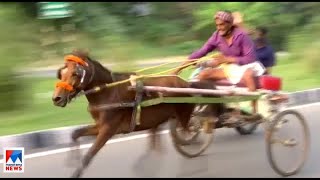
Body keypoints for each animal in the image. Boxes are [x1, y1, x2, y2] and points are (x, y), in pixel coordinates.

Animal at [52, 50, 225, 178]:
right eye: (61, 73)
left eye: (75, 73)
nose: (56, 98)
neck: (108, 92)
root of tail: (187, 84)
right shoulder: (100, 125)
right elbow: (75, 133)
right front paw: (73, 160)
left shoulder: (108, 129)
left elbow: (89, 155)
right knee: (158, 142)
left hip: (185, 114)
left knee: (195, 125)